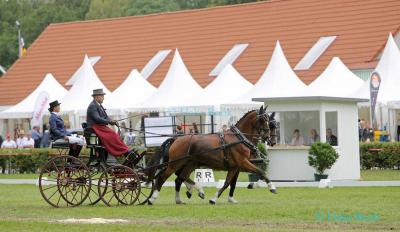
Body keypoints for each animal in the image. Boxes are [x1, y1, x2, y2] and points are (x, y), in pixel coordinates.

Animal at [148, 105, 276, 205]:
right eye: (262, 119)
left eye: (269, 121)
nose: (268, 137)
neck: (238, 138)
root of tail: (176, 139)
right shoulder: (243, 163)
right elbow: (261, 172)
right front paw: (272, 187)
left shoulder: (235, 167)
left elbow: (229, 183)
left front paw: (219, 199)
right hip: (175, 163)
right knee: (163, 177)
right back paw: (152, 198)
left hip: (190, 164)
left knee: (180, 178)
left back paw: (184, 197)